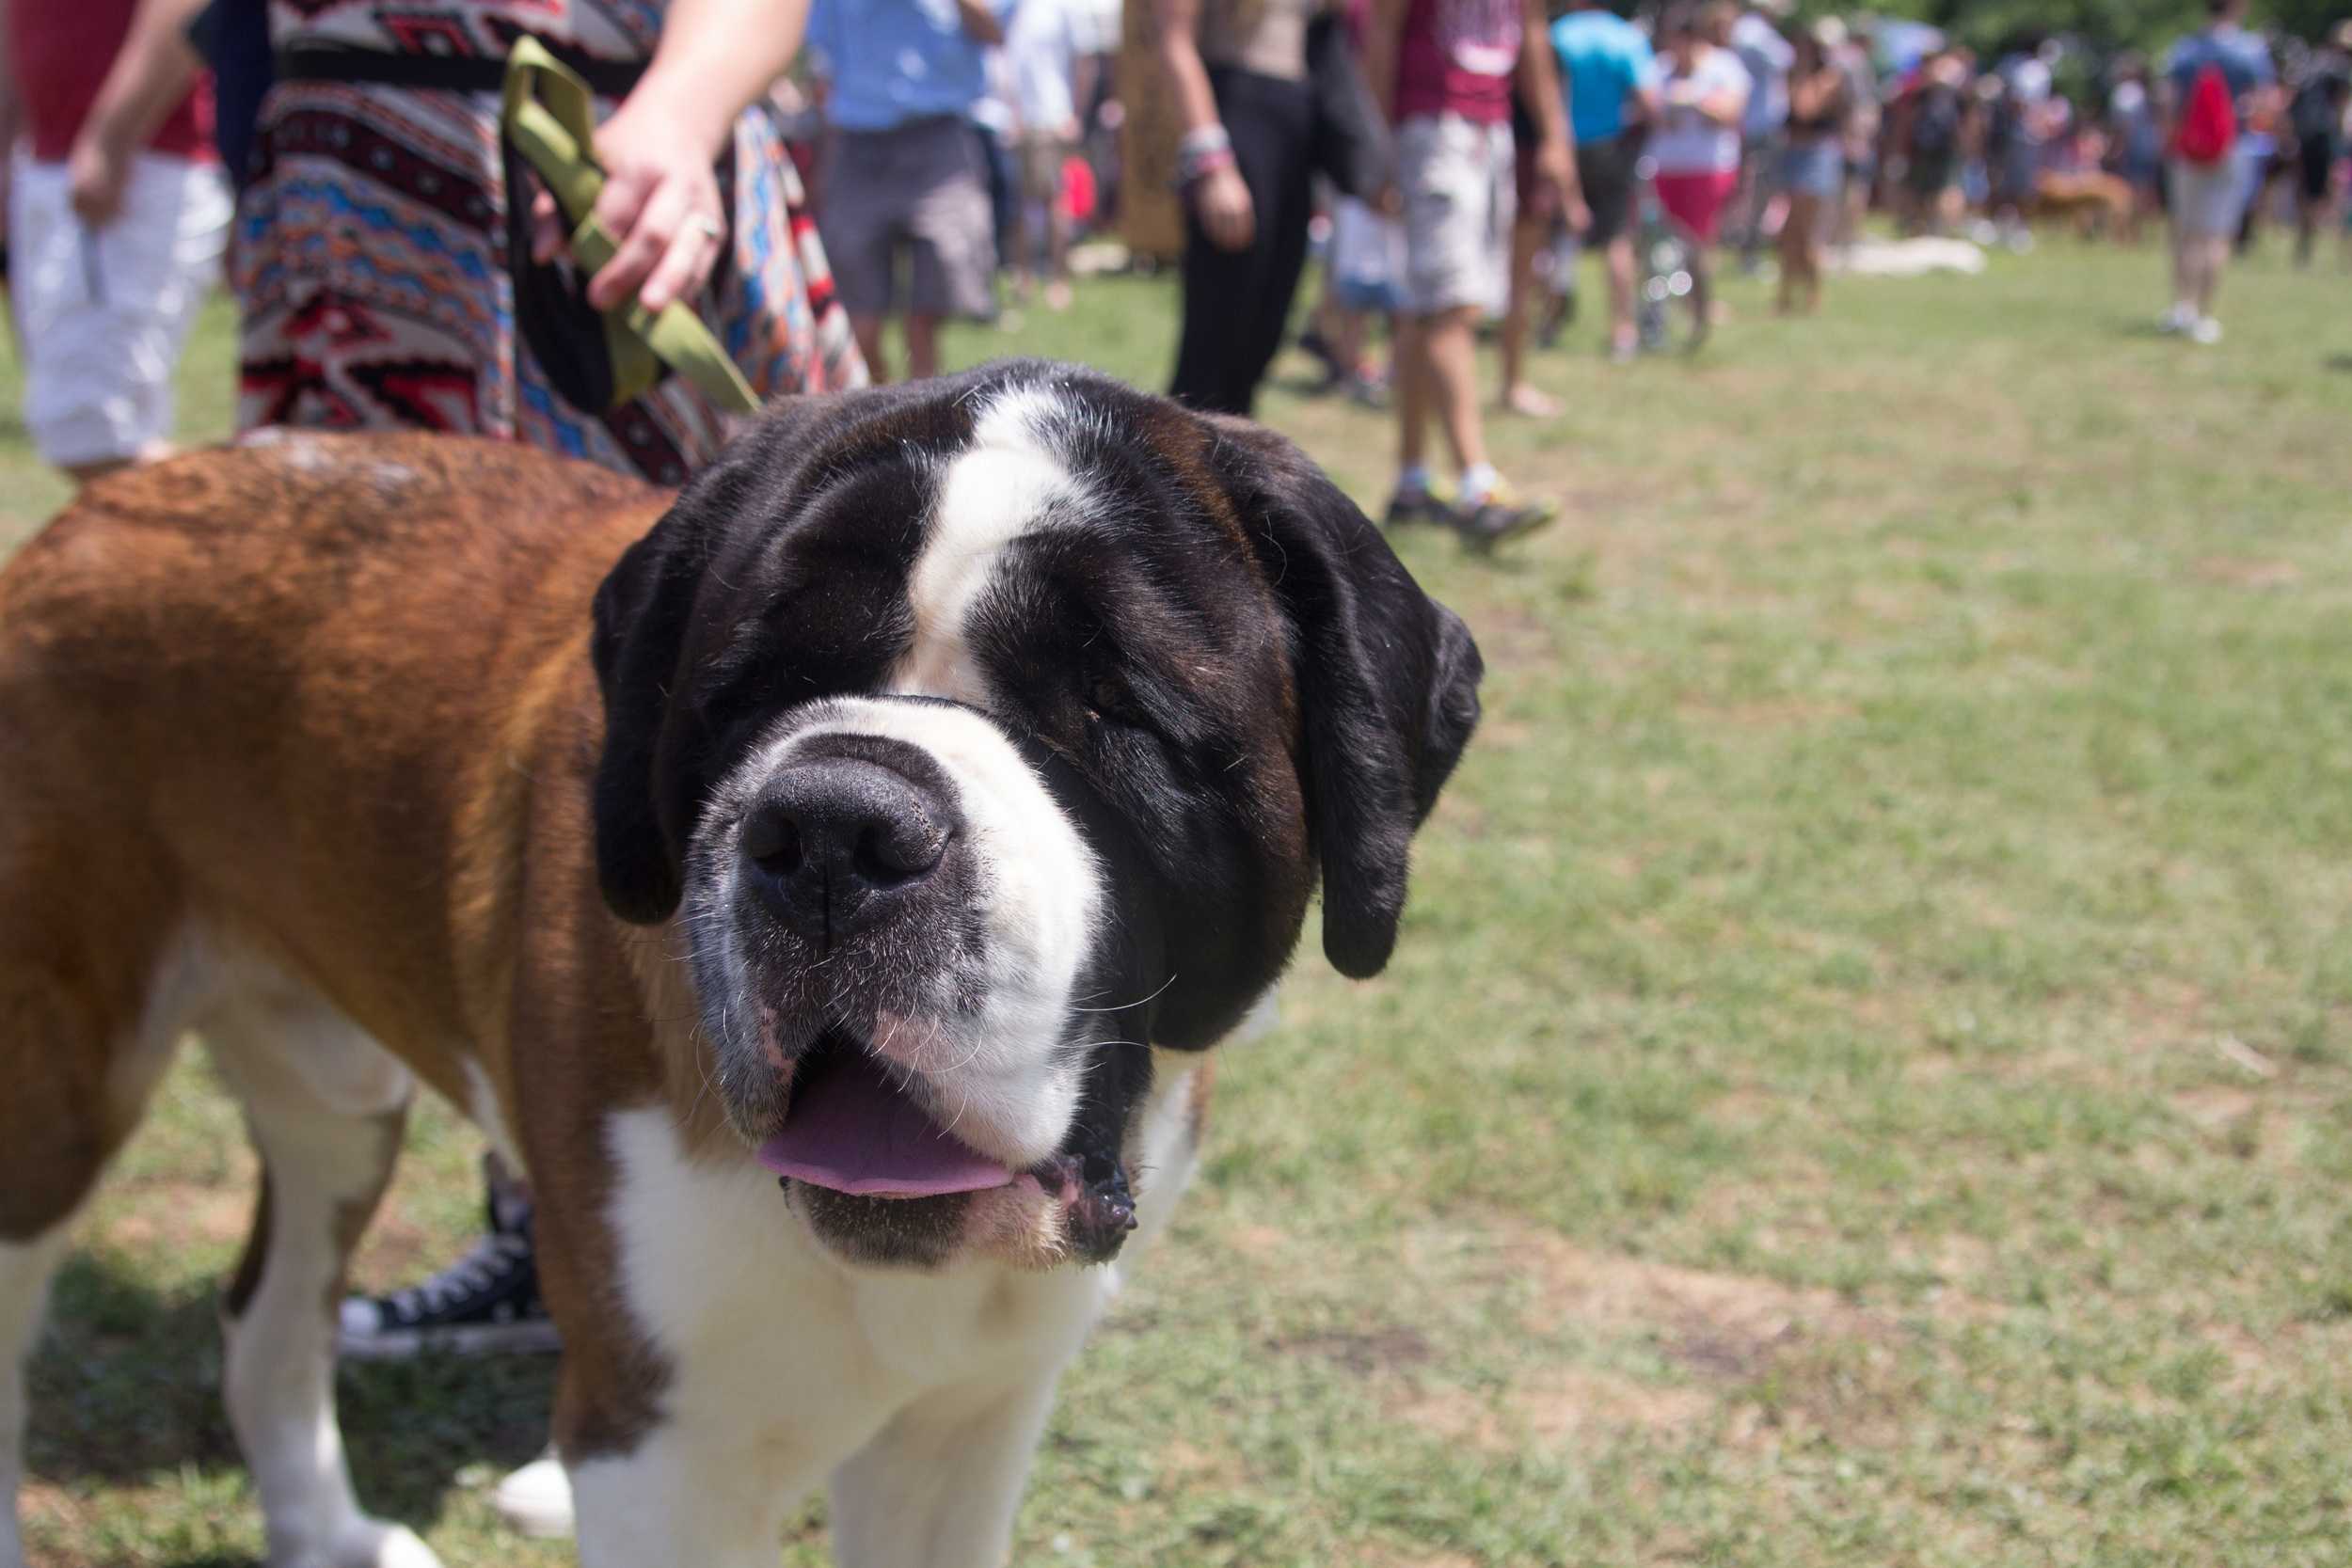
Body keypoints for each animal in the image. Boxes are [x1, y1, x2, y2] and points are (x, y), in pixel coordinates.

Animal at [0, 361, 1468, 1560]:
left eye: (1113, 707)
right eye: (752, 689)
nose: (833, 829)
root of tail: (110, 502)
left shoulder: (971, 1423)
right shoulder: (660, 1450)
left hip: (340, 1106)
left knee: (268, 1315)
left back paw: (329, 1534)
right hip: (53, 1106)